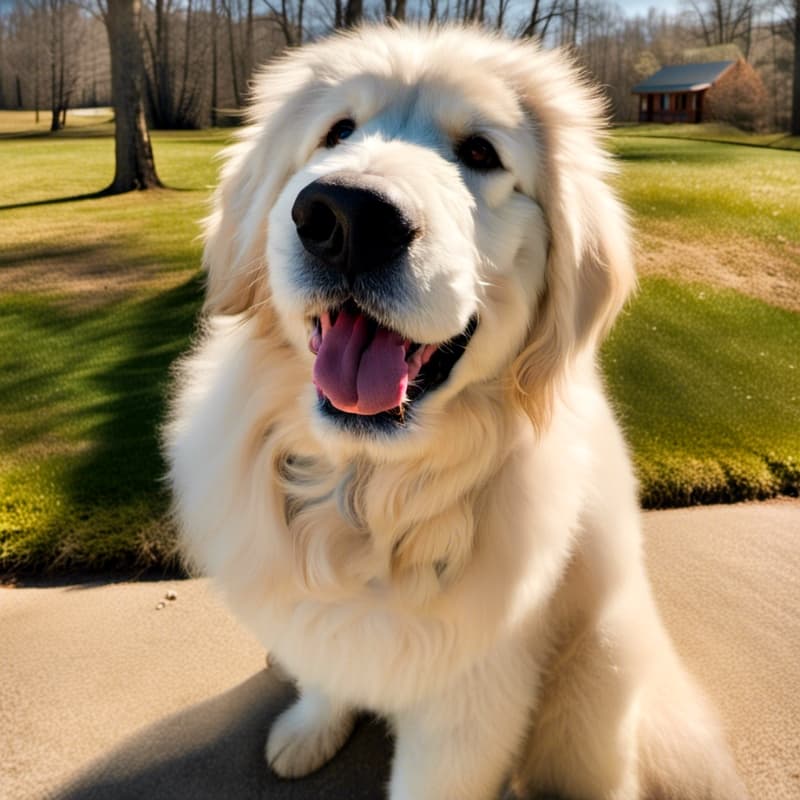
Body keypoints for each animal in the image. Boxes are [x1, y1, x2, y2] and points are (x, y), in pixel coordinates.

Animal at [164, 25, 752, 800]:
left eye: (479, 153)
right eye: (337, 132)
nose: (347, 217)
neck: (370, 491)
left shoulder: (470, 710)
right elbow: (328, 669)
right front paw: (312, 727)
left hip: (598, 670)